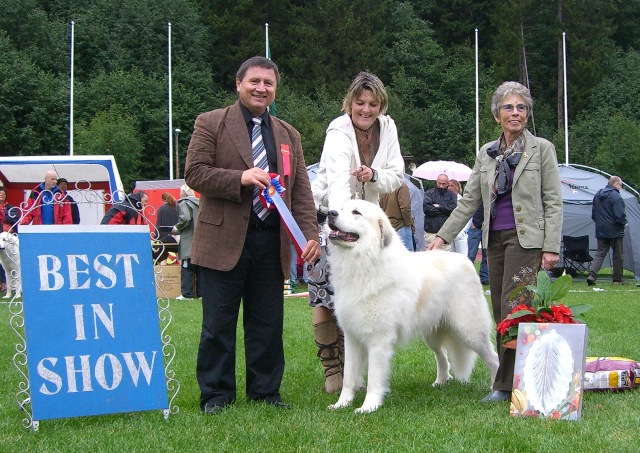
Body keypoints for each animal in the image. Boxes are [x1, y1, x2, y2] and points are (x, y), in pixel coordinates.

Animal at [324, 201, 500, 414]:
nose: (330, 213)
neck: (364, 263)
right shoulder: (352, 337)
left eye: (356, 212)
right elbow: (348, 377)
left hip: (469, 331)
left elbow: (374, 378)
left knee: (493, 357)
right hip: (432, 334)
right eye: (340, 208)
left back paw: (495, 389)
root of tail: (464, 259)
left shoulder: (379, 340)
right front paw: (341, 404)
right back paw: (441, 381)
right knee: (443, 356)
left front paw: (368, 407)